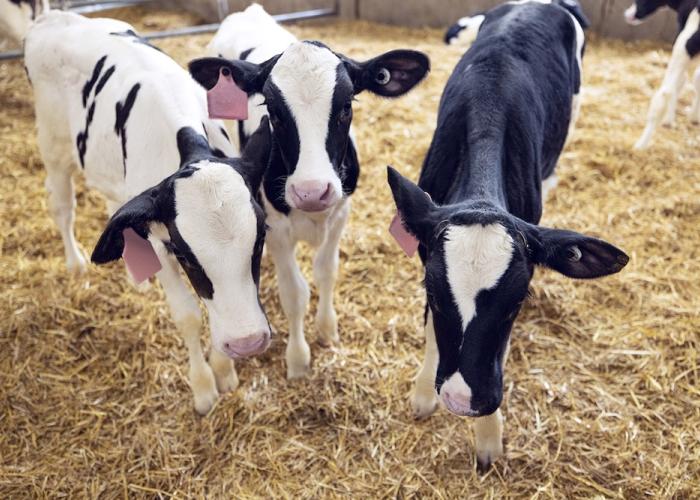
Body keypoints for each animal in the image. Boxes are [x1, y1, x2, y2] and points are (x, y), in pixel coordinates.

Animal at [25, 11, 273, 416]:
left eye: (261, 237)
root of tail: (53, 17)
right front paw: (204, 389)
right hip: (53, 143)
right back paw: (75, 264)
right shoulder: (160, 243)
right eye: (184, 254)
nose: (247, 342)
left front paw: (225, 371)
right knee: (62, 205)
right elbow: (188, 315)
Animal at [190, 4, 430, 380]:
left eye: (346, 105)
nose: (311, 191)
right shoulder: (275, 228)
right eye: (272, 111)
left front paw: (327, 329)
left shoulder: (341, 212)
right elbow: (294, 293)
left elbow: (326, 271)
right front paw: (298, 358)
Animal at [387, 1, 628, 470]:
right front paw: (424, 394)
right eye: (434, 294)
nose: (462, 400)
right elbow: (430, 333)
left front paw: (487, 437)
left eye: (517, 302)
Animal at [625, 0, 700, 149]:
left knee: (665, 92)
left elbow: (680, 83)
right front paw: (694, 117)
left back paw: (640, 146)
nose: (627, 15)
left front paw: (668, 121)